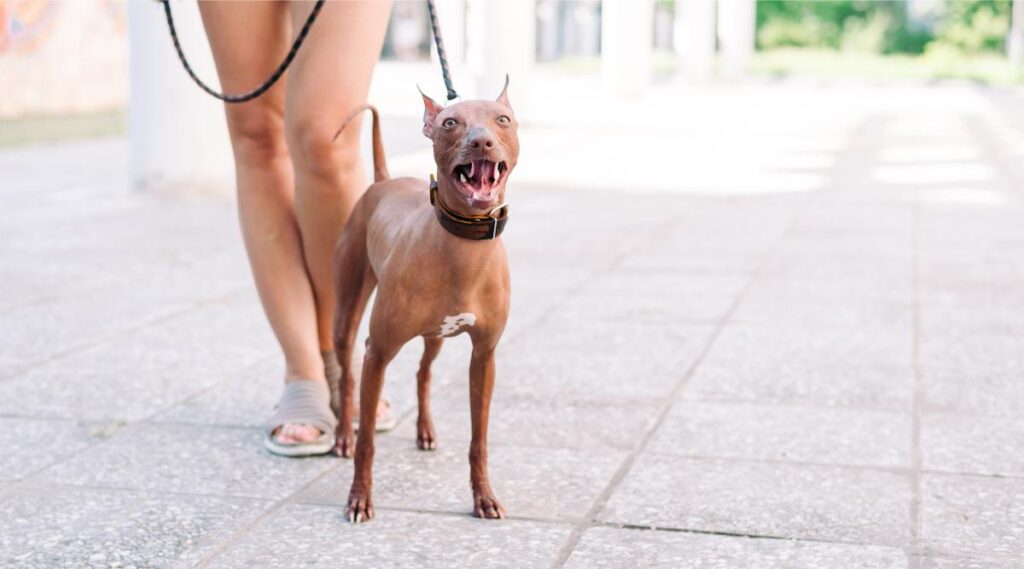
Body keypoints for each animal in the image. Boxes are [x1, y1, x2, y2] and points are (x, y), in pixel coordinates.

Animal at [329, 79, 520, 523]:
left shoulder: (484, 357)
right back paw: (343, 436)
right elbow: (368, 441)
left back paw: (425, 430)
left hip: (435, 336)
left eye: (502, 119)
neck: (463, 250)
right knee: (346, 377)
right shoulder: (378, 353)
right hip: (347, 314)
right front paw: (359, 498)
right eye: (450, 122)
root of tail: (383, 181)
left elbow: (479, 440)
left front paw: (484, 497)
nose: (481, 141)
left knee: (423, 372)